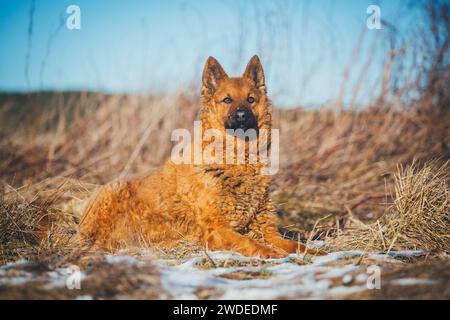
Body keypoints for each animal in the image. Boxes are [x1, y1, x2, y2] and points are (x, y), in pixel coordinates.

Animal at [79, 56, 322, 258]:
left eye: (251, 99)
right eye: (227, 100)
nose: (242, 115)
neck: (238, 160)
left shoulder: (265, 229)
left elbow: (293, 244)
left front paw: (312, 252)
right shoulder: (217, 229)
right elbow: (249, 243)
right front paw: (269, 253)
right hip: (112, 189)